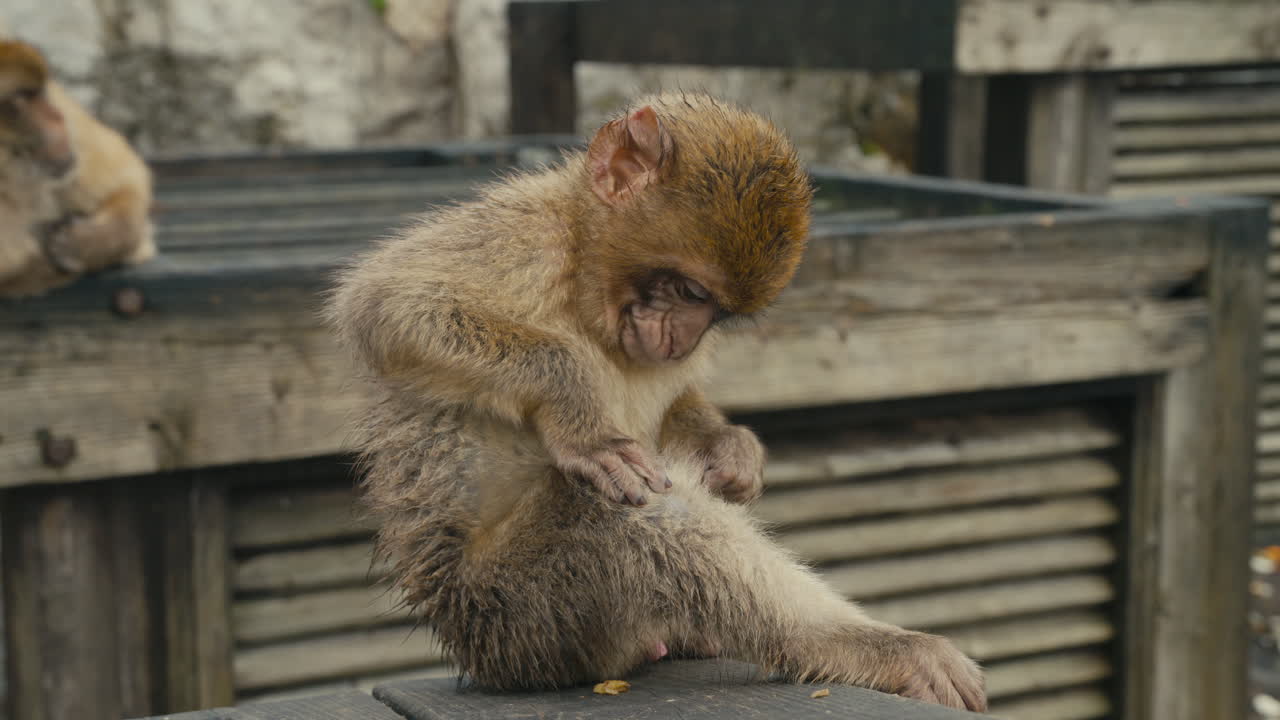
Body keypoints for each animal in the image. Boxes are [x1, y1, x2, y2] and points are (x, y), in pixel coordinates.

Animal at [327, 93, 987, 711]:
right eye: (689, 291)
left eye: (714, 312)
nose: (683, 339)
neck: (582, 269)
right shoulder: (521, 236)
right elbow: (387, 306)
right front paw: (581, 413)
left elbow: (682, 406)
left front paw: (731, 448)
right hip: (520, 618)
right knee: (628, 514)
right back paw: (861, 646)